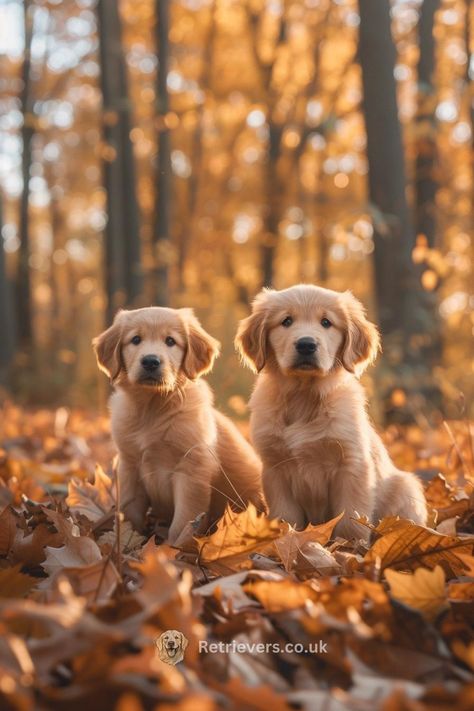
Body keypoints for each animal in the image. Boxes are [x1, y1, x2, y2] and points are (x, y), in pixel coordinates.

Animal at [92, 306, 262, 544]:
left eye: (170, 341)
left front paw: (174, 548)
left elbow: (183, 521)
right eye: (135, 339)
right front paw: (128, 540)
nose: (151, 361)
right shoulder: (129, 466)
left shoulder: (191, 469)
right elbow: (130, 513)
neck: (153, 407)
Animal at [235, 284, 428, 540]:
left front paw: (349, 546)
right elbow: (286, 516)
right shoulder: (275, 468)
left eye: (326, 322)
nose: (306, 344)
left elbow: (351, 518)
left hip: (406, 486)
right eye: (286, 321)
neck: (304, 396)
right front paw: (287, 539)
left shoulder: (351, 465)